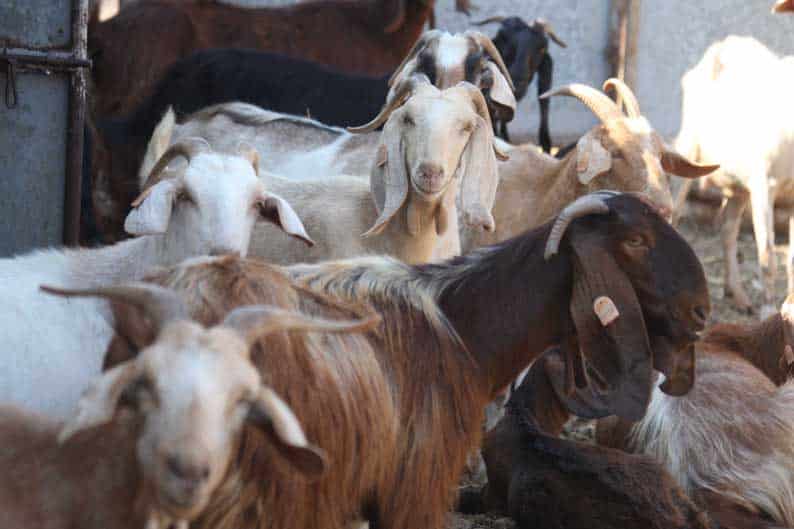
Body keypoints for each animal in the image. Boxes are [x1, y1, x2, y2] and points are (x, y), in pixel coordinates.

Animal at [672, 36, 794, 314]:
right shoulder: (764, 184)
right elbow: (768, 254)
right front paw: (769, 310)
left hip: (739, 186)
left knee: (727, 229)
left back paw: (737, 295)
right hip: (686, 149)